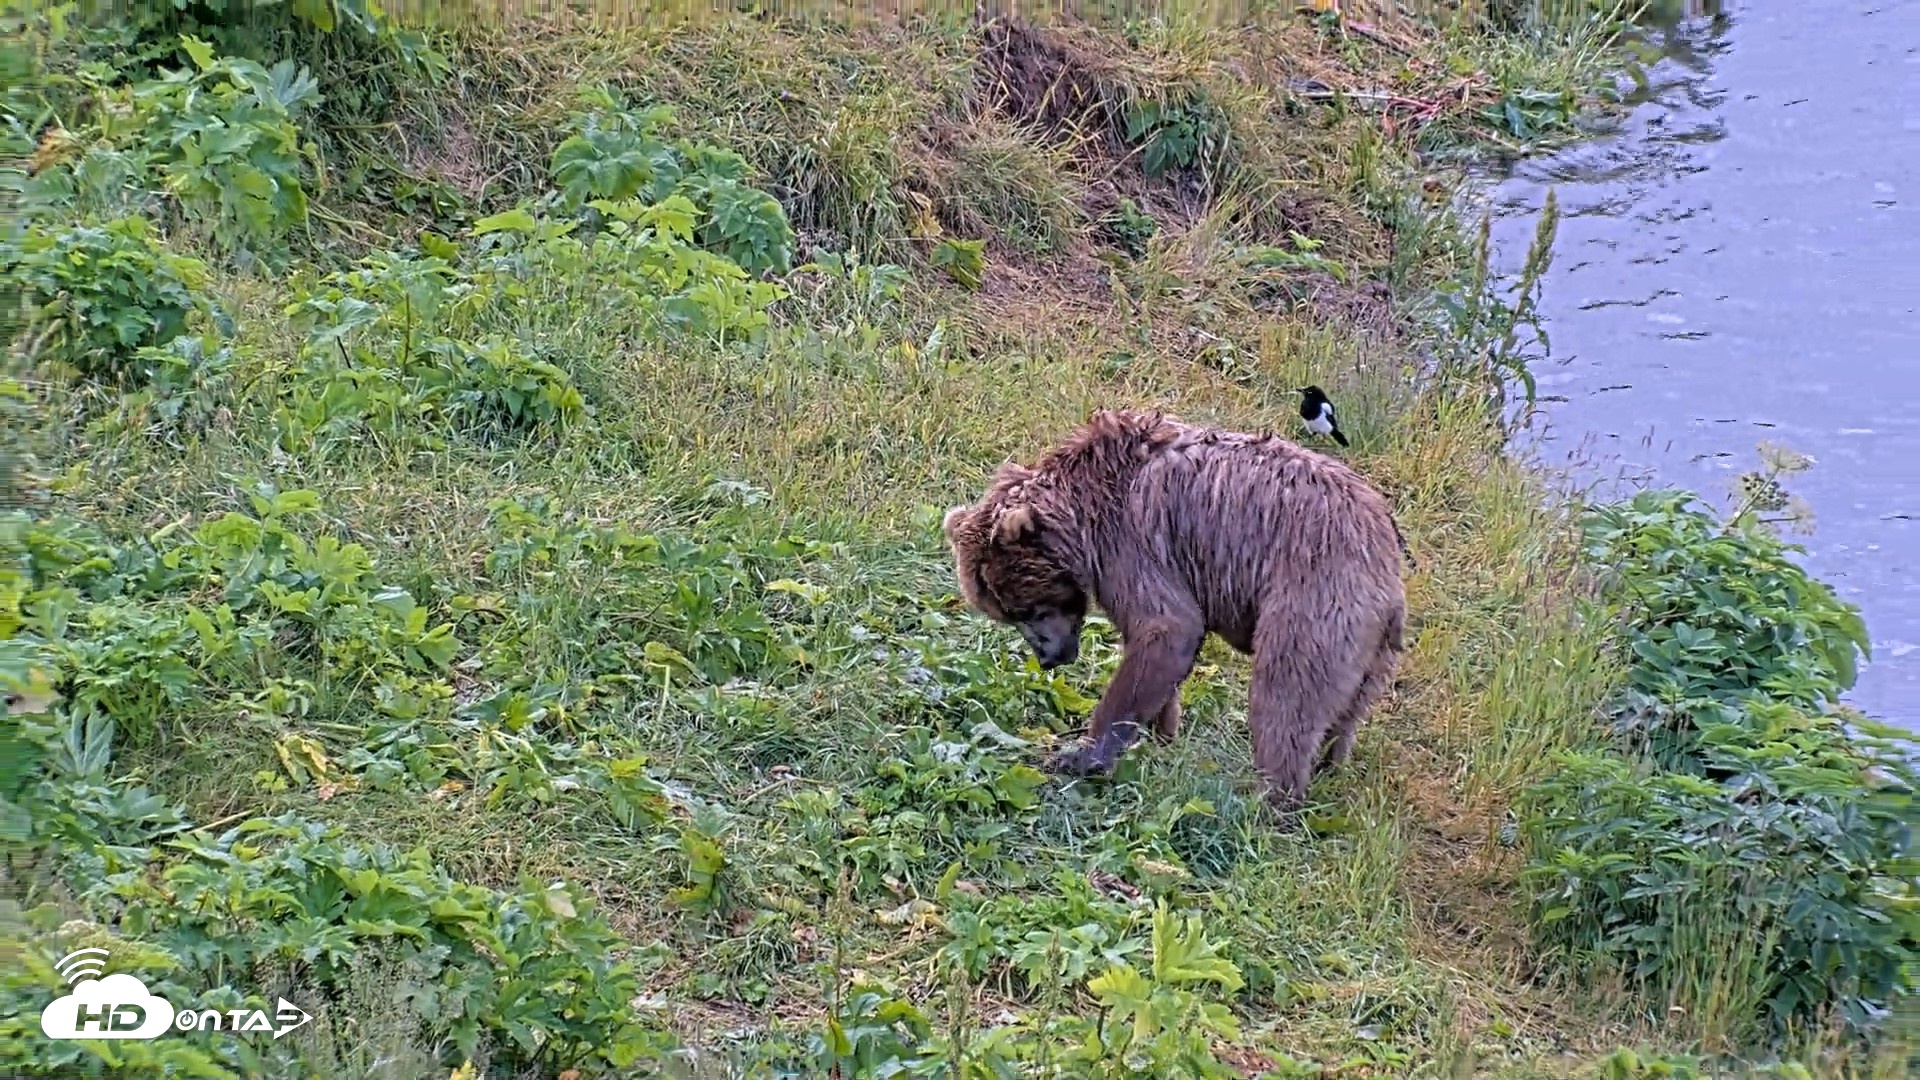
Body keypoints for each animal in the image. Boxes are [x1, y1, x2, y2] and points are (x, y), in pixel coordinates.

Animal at [942, 408, 1407, 816]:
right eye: (1007, 615)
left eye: (1026, 609)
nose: (1049, 657)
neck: (1083, 512)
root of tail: (1389, 572)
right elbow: (1154, 656)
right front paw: (1161, 730)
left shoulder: (1134, 543)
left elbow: (1168, 626)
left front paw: (1082, 755)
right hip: (1372, 655)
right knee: (1343, 715)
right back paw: (1328, 767)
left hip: (1313, 600)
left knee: (1287, 696)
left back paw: (1269, 799)